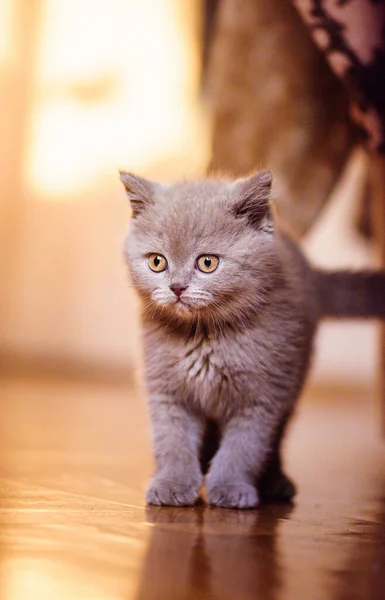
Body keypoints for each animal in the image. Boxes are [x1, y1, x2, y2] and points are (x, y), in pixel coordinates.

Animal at [120, 170, 384, 510]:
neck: (204, 336)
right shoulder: (166, 390)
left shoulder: (263, 395)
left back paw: (276, 482)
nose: (177, 287)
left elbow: (244, 447)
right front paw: (173, 483)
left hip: (294, 378)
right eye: (157, 262)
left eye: (207, 263)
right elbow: (172, 439)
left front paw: (230, 487)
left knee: (278, 437)